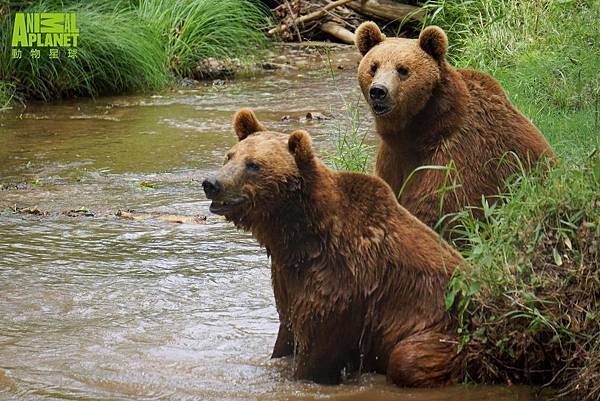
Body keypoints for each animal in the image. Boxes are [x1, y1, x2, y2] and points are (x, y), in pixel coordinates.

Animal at [204, 108, 466, 386]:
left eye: (253, 165)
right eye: (229, 156)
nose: (212, 183)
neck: (301, 236)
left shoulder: (341, 283)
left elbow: (317, 350)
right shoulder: (288, 279)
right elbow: (286, 334)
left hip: (446, 331)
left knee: (407, 358)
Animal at [354, 22, 556, 231]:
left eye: (403, 70)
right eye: (373, 67)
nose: (378, 91)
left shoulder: (457, 155)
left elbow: (444, 208)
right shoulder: (391, 159)